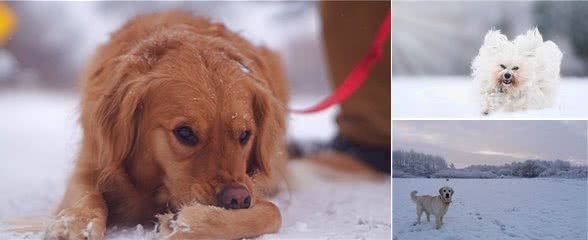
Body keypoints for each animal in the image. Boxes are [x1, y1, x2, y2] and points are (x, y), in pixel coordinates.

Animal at [42, 9, 288, 240]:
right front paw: (76, 223)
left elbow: (273, 212)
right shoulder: (92, 162)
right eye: (185, 133)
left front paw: (187, 223)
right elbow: (86, 195)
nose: (236, 198)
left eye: (245, 135)